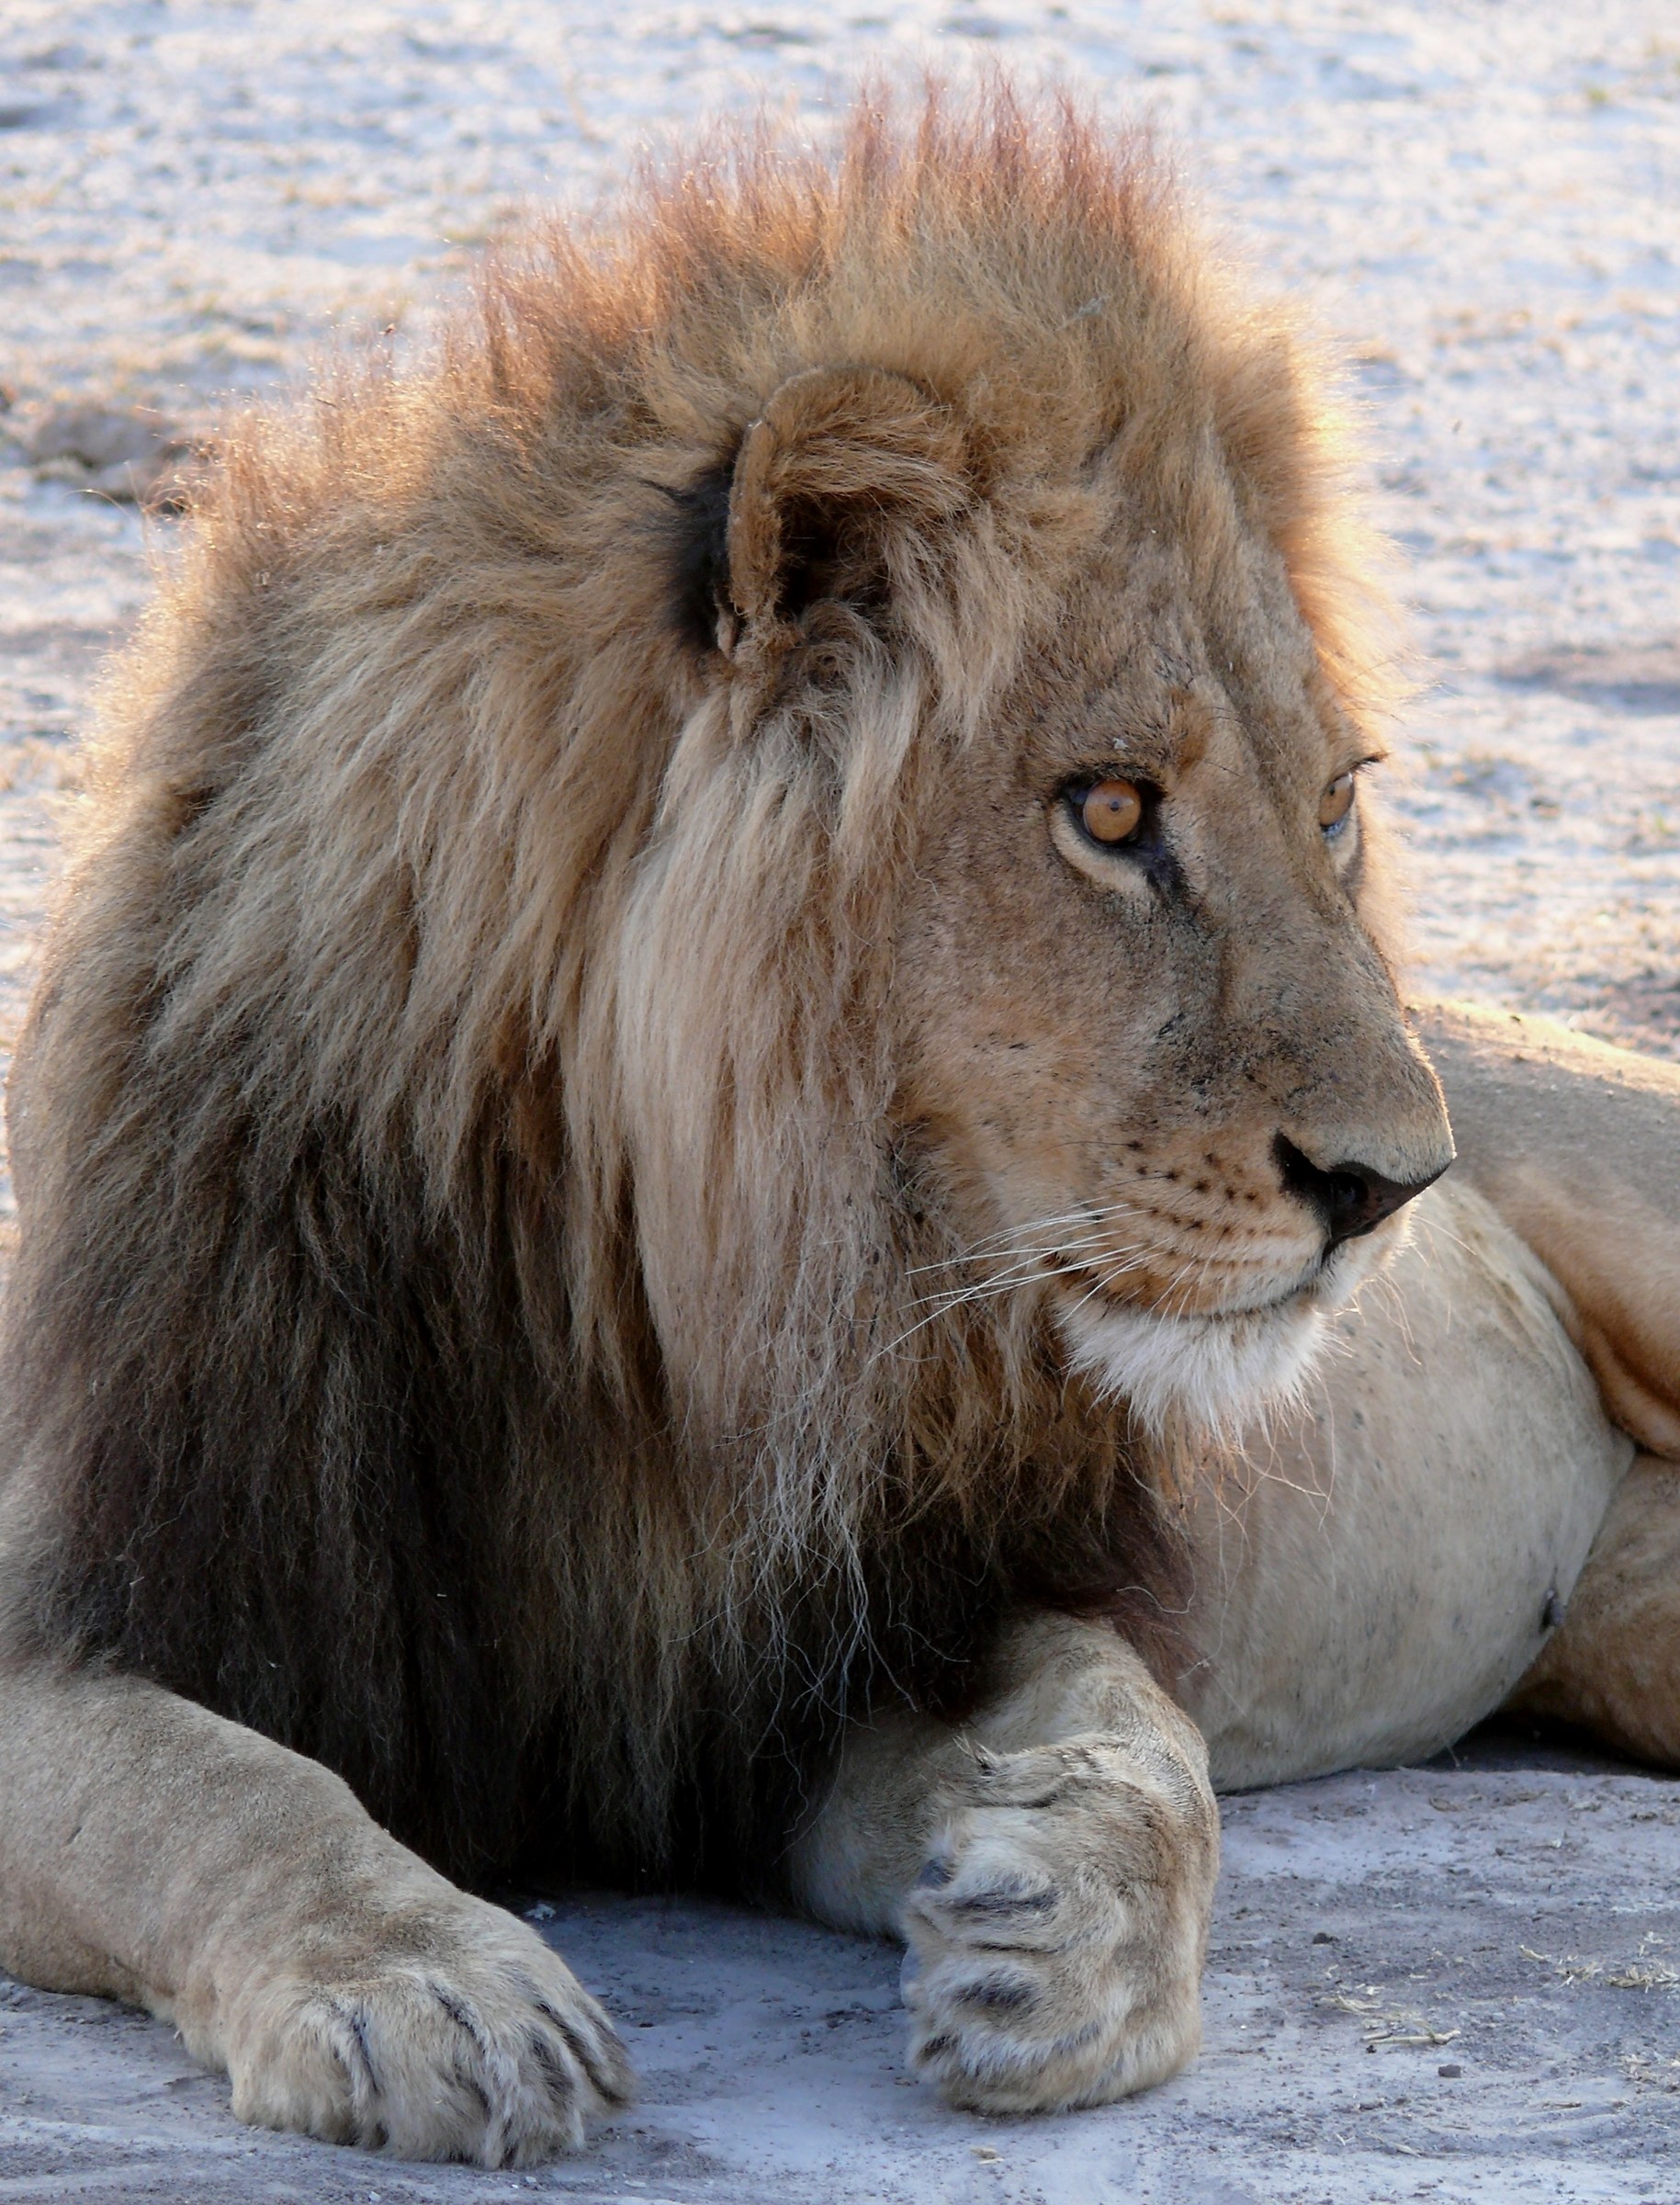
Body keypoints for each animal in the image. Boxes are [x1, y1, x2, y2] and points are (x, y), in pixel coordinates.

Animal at [0, 89, 1676, 2166]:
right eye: (1108, 812)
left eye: (1331, 809)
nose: (1390, 1187)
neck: (663, 1288)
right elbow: (208, 1786)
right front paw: (426, 1988)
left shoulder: (884, 1621)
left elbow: (1136, 1733)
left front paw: (1063, 1931)